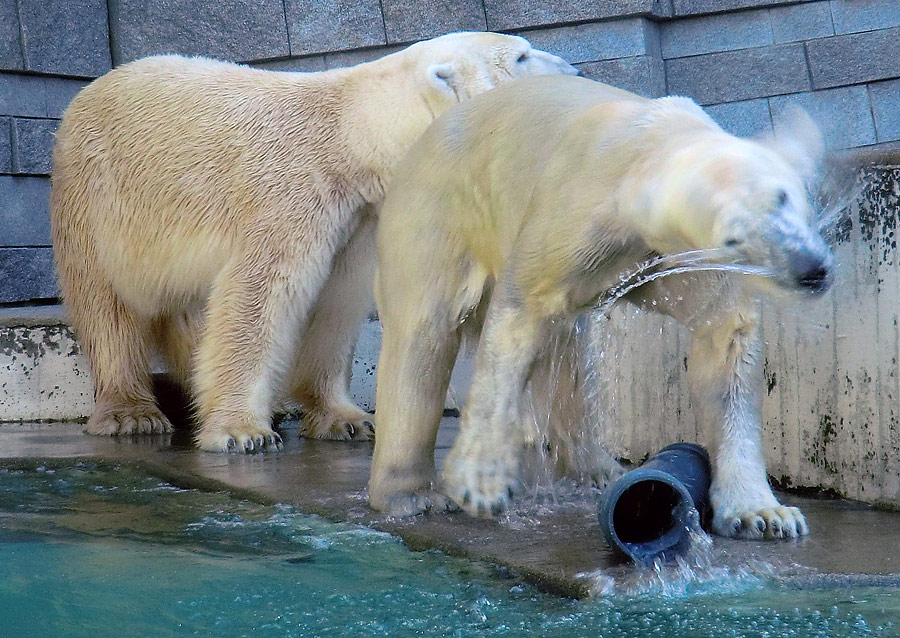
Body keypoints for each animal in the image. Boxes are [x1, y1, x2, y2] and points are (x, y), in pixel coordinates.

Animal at [51, 32, 576, 452]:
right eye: (523, 55)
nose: (572, 68)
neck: (350, 137)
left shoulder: (358, 219)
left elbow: (336, 303)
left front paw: (348, 420)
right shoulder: (291, 193)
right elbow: (260, 297)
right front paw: (241, 432)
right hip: (95, 198)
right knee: (106, 307)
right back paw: (131, 412)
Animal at [370, 76, 832, 544]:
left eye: (783, 196)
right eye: (734, 237)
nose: (810, 270)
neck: (651, 141)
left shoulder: (683, 257)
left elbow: (724, 339)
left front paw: (764, 514)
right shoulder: (578, 218)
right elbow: (521, 313)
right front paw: (481, 484)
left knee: (567, 352)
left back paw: (595, 469)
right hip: (437, 214)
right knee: (423, 341)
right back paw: (412, 495)